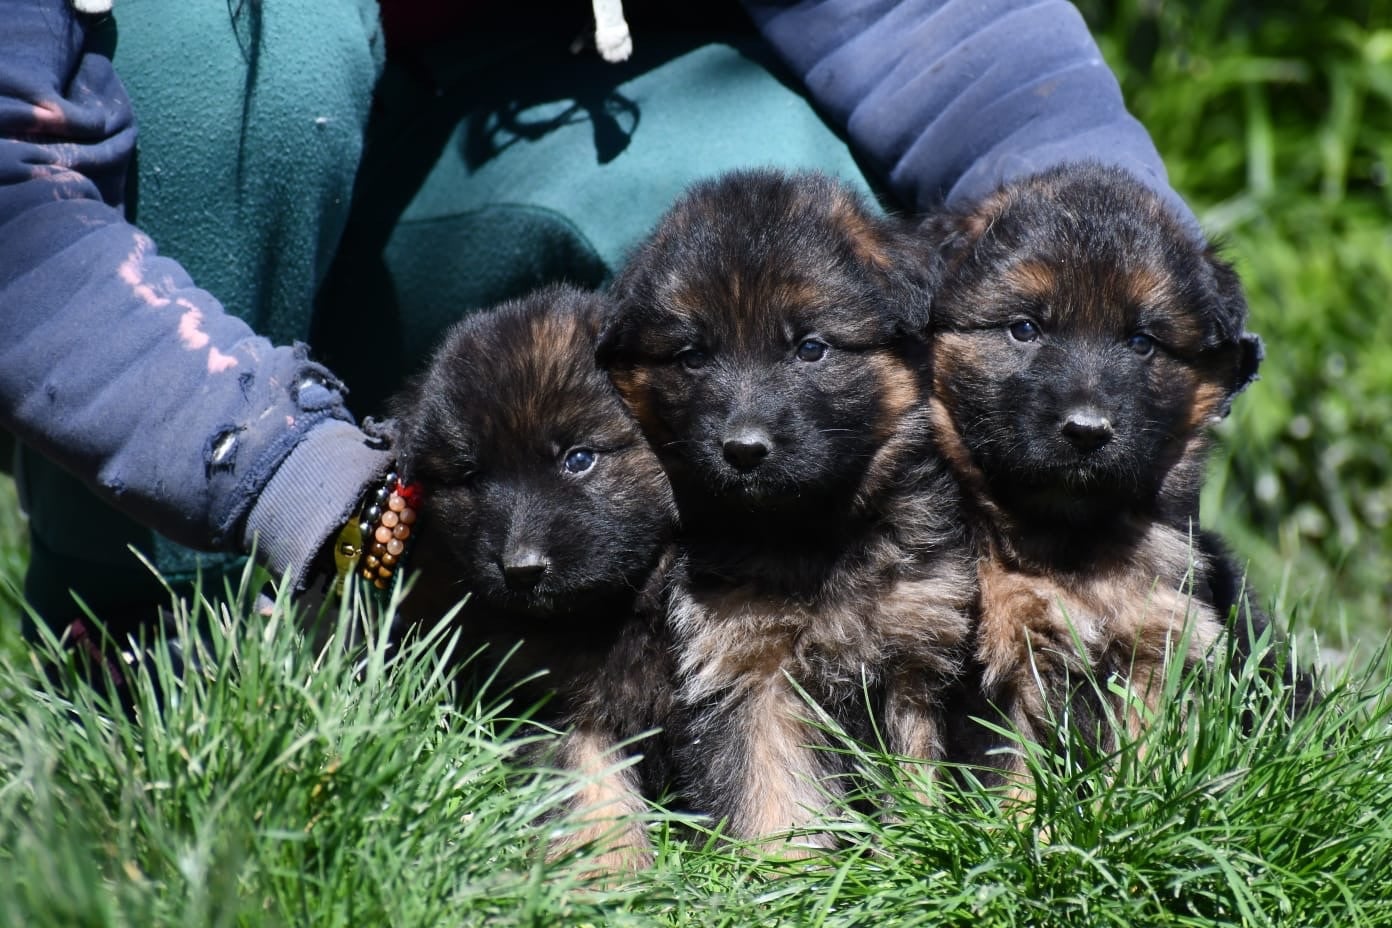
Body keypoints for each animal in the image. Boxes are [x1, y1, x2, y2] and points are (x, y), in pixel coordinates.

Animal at [389, 284, 678, 870]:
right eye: (472, 478)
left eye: (580, 459)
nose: (522, 570)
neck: (617, 612)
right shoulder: (559, 706)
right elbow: (591, 790)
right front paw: (607, 873)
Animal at [599, 169, 976, 848]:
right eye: (692, 357)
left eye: (810, 348)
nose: (744, 450)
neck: (811, 536)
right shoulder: (748, 668)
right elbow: (773, 799)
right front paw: (789, 867)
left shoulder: (918, 651)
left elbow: (918, 775)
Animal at [921, 162, 1273, 782]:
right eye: (1024, 328)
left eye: (1141, 342)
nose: (1087, 430)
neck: (1071, 541)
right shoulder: (1002, 657)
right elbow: (1014, 776)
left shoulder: (1159, 642)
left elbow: (1147, 760)